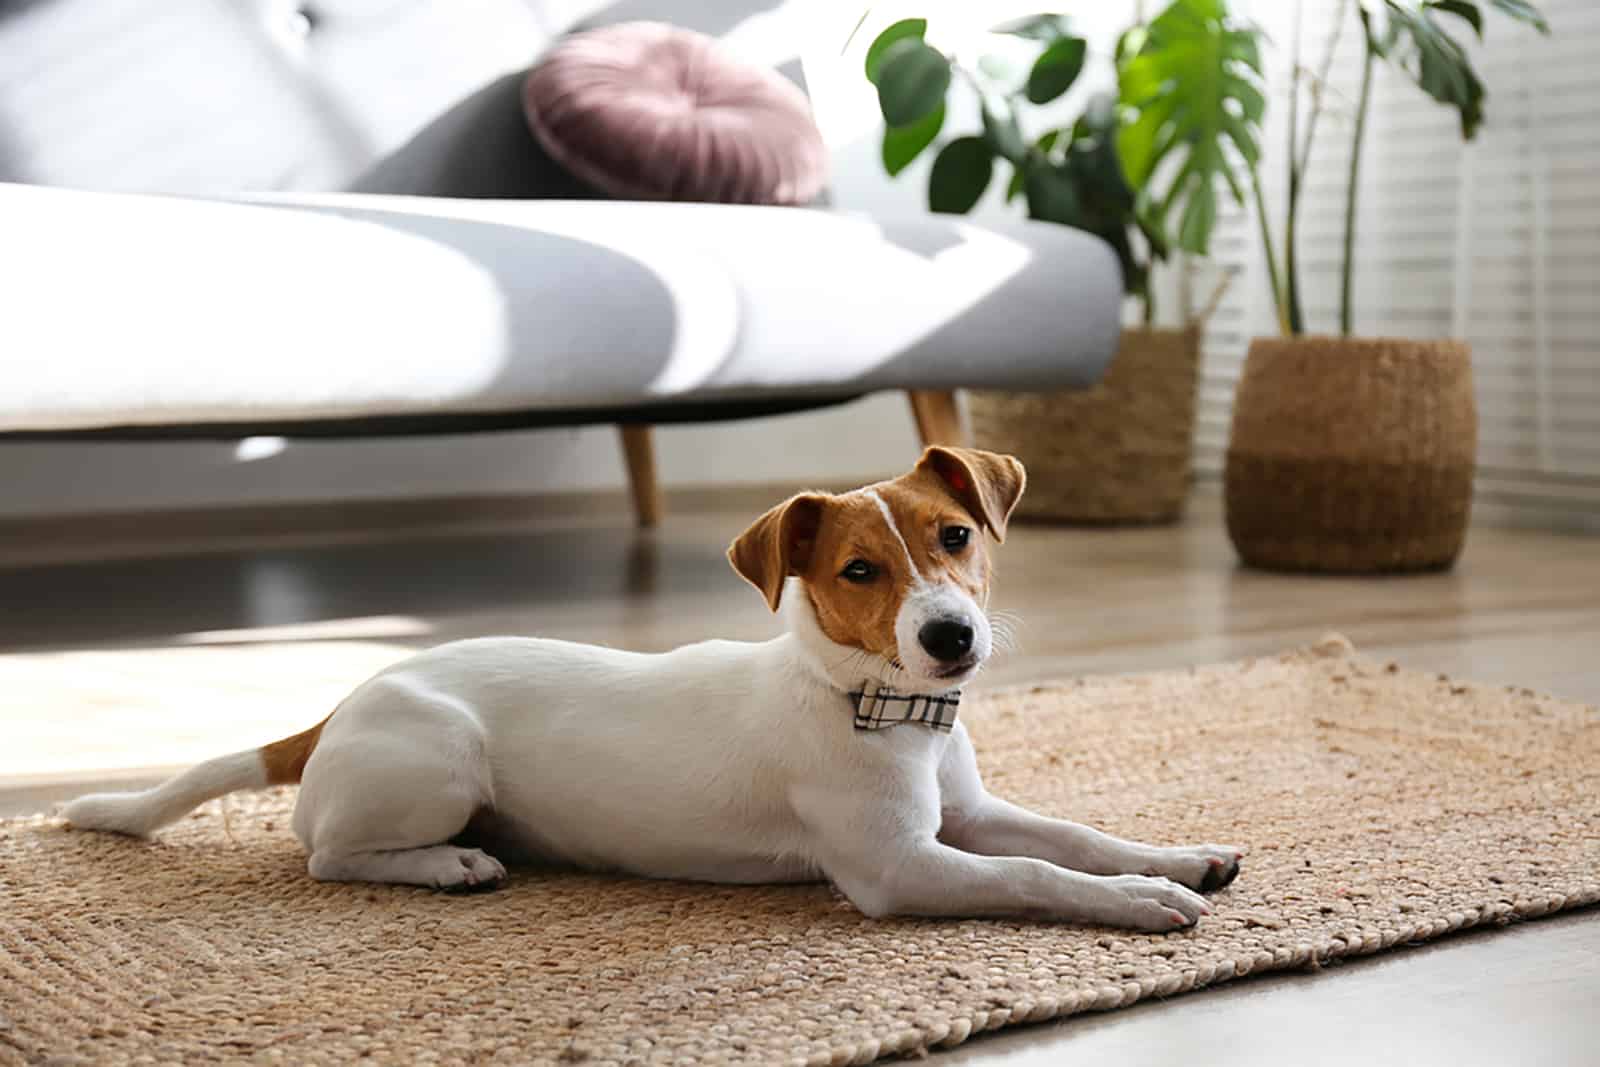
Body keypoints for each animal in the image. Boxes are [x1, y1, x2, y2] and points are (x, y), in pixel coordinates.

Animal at [65, 447, 1235, 927]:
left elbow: (1072, 835)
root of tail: (338, 709)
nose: (951, 636)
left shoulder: (971, 814)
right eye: (860, 571)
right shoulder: (900, 868)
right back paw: (448, 865)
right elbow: (1039, 873)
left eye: (956, 537)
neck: (879, 706)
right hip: (440, 762)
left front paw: (1179, 857)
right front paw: (1143, 901)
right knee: (326, 854)